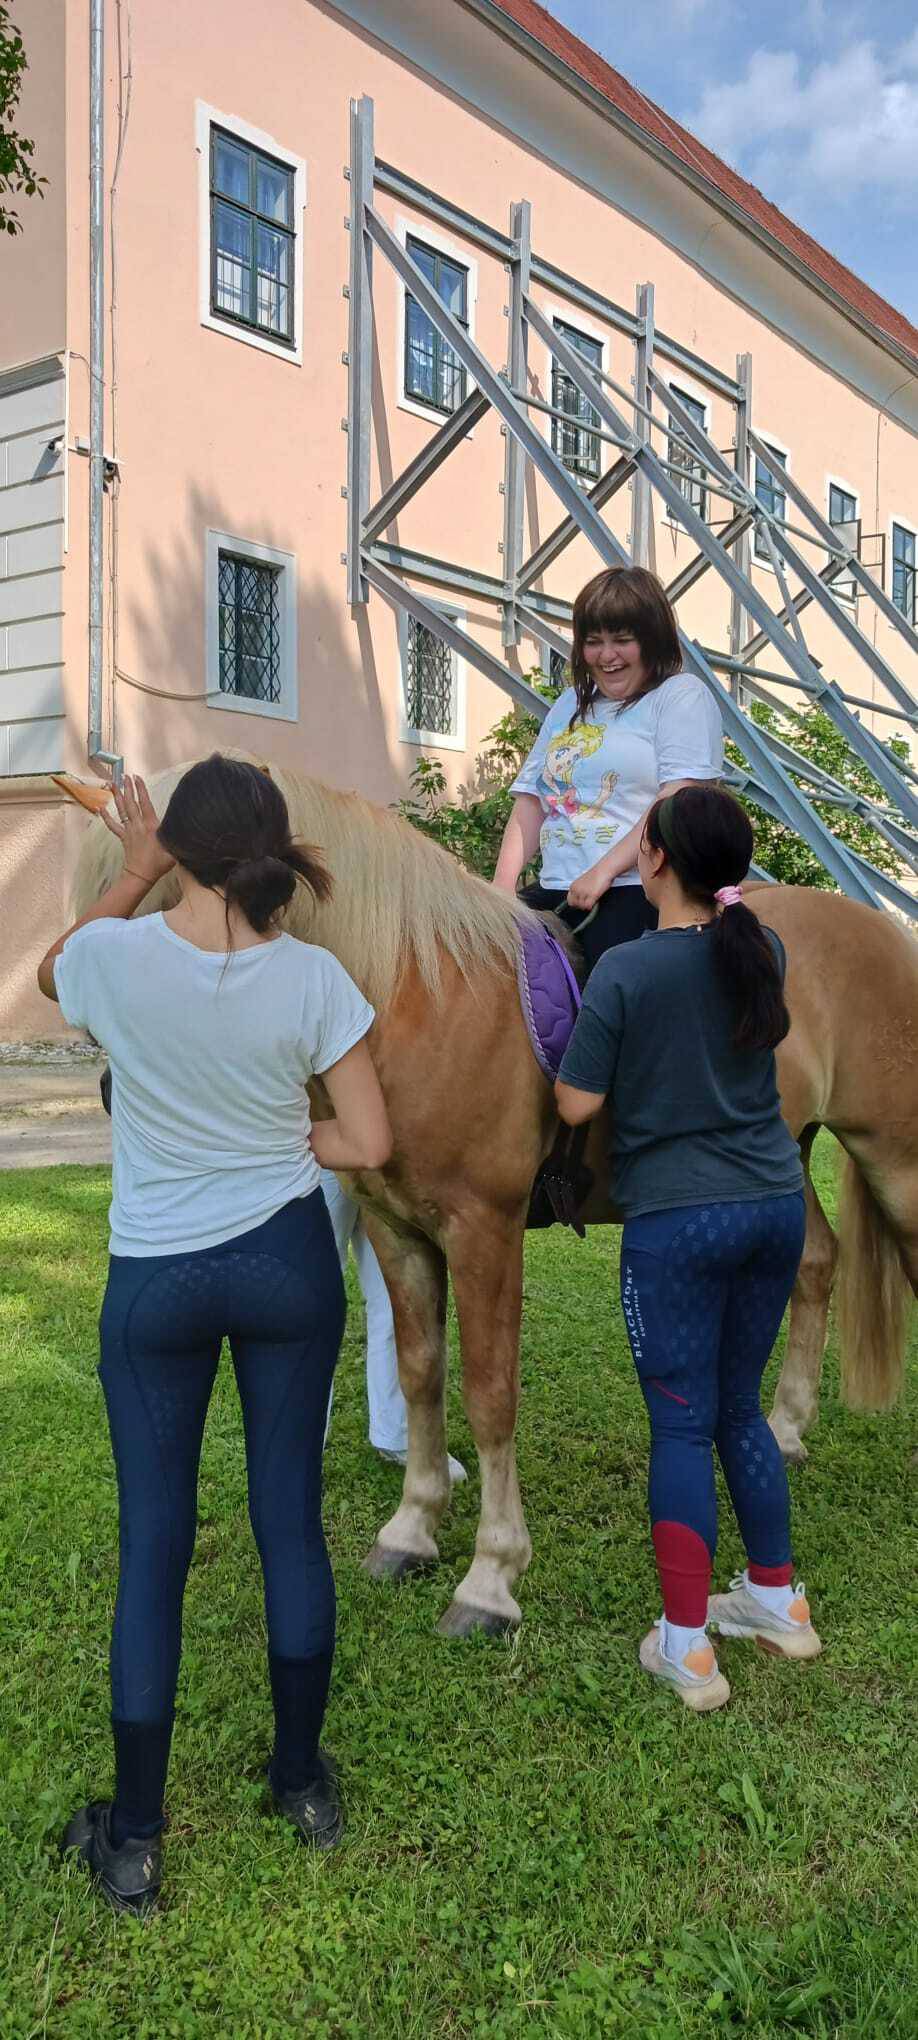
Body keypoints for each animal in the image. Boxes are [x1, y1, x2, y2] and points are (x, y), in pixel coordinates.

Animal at [69, 758, 918, 1632]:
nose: (110, 1091)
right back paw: (784, 1429)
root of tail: (882, 929)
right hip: (783, 1153)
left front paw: (491, 1575)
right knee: (816, 1263)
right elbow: (419, 1374)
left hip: (894, 1158)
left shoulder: (485, 1229)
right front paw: (410, 1532)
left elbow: (488, 1391)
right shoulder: (396, 1228)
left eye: (168, 907)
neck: (412, 999)